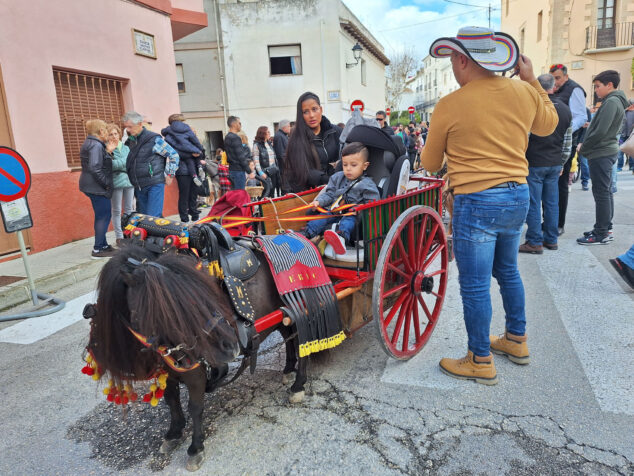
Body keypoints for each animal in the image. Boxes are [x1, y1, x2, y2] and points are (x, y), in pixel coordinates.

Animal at [86, 245, 306, 472]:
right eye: (166, 308)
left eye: (202, 292)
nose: (230, 343)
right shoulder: (169, 370)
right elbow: (171, 399)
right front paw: (174, 432)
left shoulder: (196, 373)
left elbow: (195, 407)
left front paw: (195, 447)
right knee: (288, 335)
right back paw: (288, 370)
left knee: (302, 344)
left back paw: (298, 385)